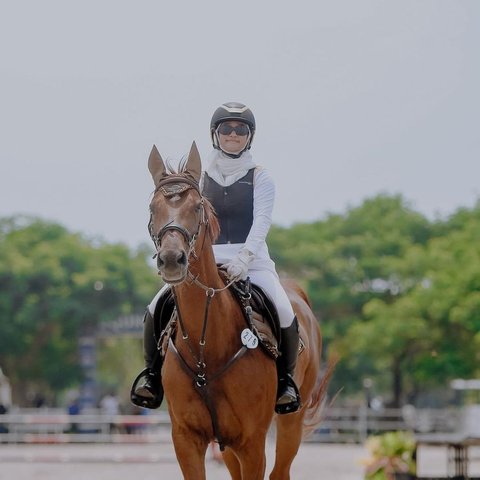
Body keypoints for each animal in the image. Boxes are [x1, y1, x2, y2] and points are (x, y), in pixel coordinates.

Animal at [147, 141, 334, 478]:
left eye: (197, 207)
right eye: (153, 209)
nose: (171, 260)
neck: (207, 349)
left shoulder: (252, 445)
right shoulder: (186, 439)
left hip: (291, 422)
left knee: (281, 470)